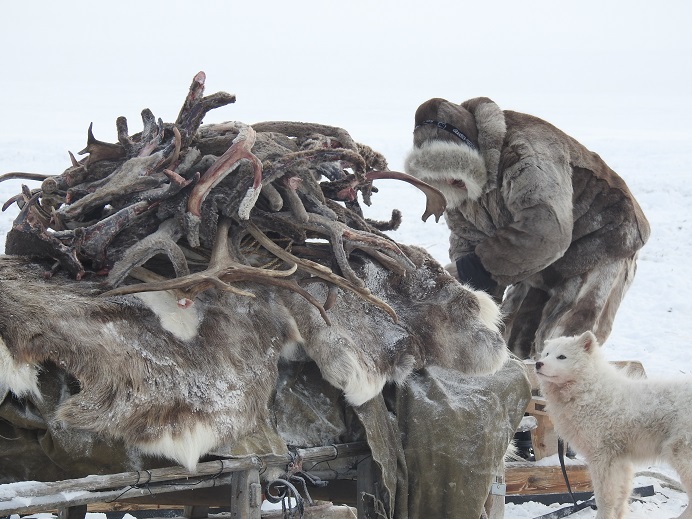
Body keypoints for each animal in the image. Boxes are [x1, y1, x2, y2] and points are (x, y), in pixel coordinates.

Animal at [536, 334, 692, 519]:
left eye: (561, 357)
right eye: (546, 354)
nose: (538, 363)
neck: (590, 390)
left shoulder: (603, 458)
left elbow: (604, 497)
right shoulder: (621, 459)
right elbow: (622, 495)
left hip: (680, 454)